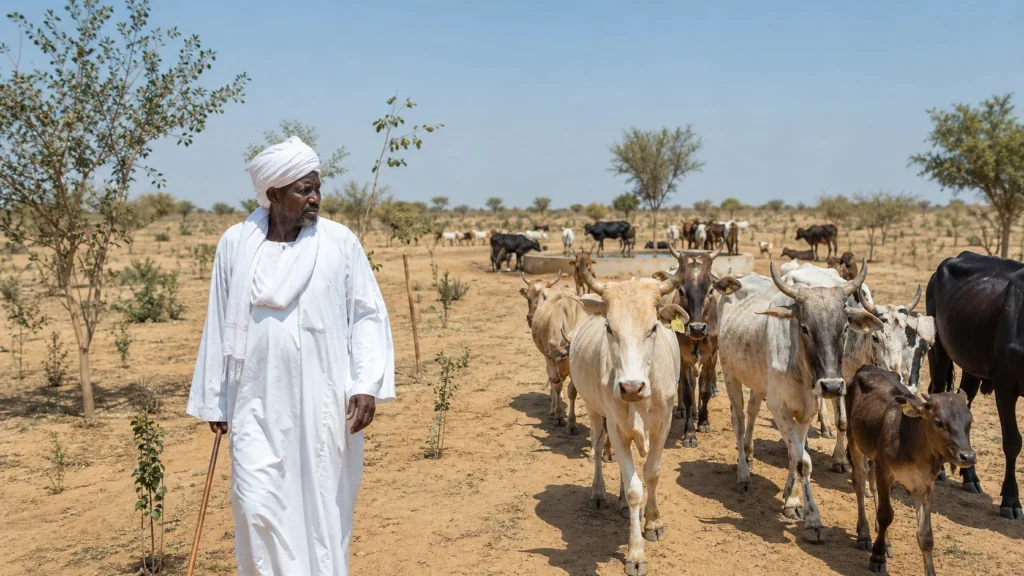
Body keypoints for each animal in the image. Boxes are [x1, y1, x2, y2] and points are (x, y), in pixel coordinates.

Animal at [569, 259, 686, 576]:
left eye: (654, 327)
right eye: (609, 328)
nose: (631, 387)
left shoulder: (664, 425)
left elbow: (652, 473)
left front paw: (653, 522)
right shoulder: (615, 425)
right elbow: (634, 488)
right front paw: (635, 554)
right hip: (594, 410)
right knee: (598, 446)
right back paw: (599, 493)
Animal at [654, 242, 742, 448]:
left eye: (710, 290)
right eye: (681, 290)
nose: (697, 328)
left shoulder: (711, 357)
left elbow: (704, 390)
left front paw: (703, 421)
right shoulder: (684, 358)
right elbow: (687, 392)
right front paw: (690, 433)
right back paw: (683, 410)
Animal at [717, 262, 881, 541]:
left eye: (845, 328)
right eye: (804, 327)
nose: (832, 386)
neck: (801, 369)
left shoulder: (807, 411)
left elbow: (797, 455)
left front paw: (792, 500)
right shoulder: (778, 407)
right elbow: (803, 460)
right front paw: (813, 518)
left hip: (758, 382)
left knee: (752, 411)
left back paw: (749, 453)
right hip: (730, 374)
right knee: (738, 421)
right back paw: (743, 474)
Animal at [846, 365, 975, 575]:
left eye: (970, 421)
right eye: (938, 422)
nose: (968, 456)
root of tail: (867, 367)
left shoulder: (926, 485)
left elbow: (925, 534)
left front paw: (930, 572)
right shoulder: (885, 471)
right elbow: (885, 515)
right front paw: (877, 557)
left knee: (871, 483)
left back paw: (885, 541)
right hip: (854, 438)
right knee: (859, 481)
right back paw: (864, 535)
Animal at [926, 252, 1024, 519]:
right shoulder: (1005, 384)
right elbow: (1012, 441)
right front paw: (1011, 500)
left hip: (970, 368)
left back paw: (970, 477)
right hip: (938, 351)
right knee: (936, 393)